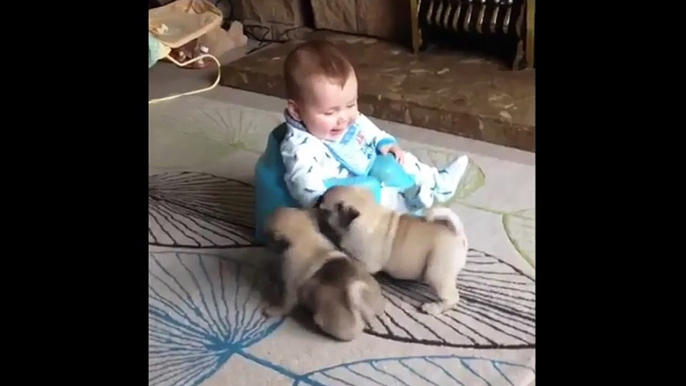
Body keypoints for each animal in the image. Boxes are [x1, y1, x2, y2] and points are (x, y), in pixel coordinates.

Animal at [264, 207, 384, 340]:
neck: (305, 236)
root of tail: (357, 312)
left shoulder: (290, 287)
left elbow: (285, 304)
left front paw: (275, 310)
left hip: (322, 315)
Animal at [316, 185, 468, 316]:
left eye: (324, 209)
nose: (318, 198)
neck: (369, 213)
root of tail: (457, 234)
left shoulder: (366, 263)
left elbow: (346, 253)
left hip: (436, 272)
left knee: (452, 297)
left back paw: (433, 308)